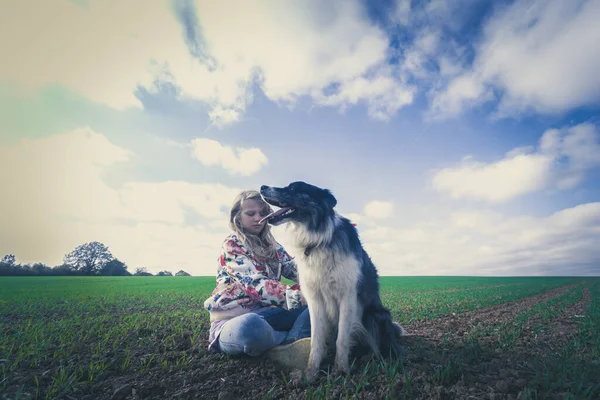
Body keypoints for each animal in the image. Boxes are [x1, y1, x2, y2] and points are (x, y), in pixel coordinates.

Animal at [260, 182, 406, 384]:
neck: (317, 239)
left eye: (294, 188)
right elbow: (316, 341)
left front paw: (341, 371)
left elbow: (342, 339)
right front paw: (310, 374)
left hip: (374, 315)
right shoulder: (315, 301)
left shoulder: (347, 297)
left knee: (385, 348)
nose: (262, 186)